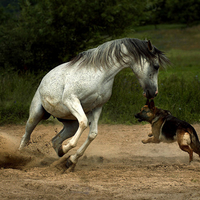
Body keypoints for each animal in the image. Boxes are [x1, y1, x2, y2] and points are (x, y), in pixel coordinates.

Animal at [18, 37, 170, 169]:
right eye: (156, 66)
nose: (153, 93)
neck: (101, 75)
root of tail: (42, 81)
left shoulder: (97, 107)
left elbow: (92, 134)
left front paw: (71, 160)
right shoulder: (71, 100)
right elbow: (84, 123)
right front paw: (67, 148)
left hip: (70, 124)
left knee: (55, 140)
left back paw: (59, 153)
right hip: (36, 115)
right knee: (26, 137)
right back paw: (20, 157)